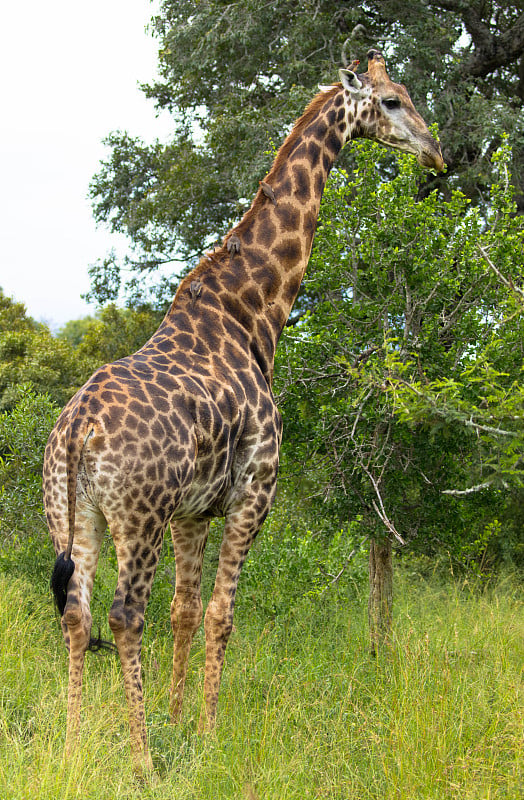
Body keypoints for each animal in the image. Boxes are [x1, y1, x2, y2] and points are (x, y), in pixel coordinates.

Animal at [45, 48, 444, 768]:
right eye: (393, 101)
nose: (436, 153)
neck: (254, 312)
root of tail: (77, 430)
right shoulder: (254, 494)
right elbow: (220, 614)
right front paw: (203, 736)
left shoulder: (193, 511)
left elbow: (185, 610)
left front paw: (178, 721)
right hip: (136, 516)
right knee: (123, 615)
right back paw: (140, 762)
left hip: (74, 512)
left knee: (77, 613)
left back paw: (71, 749)